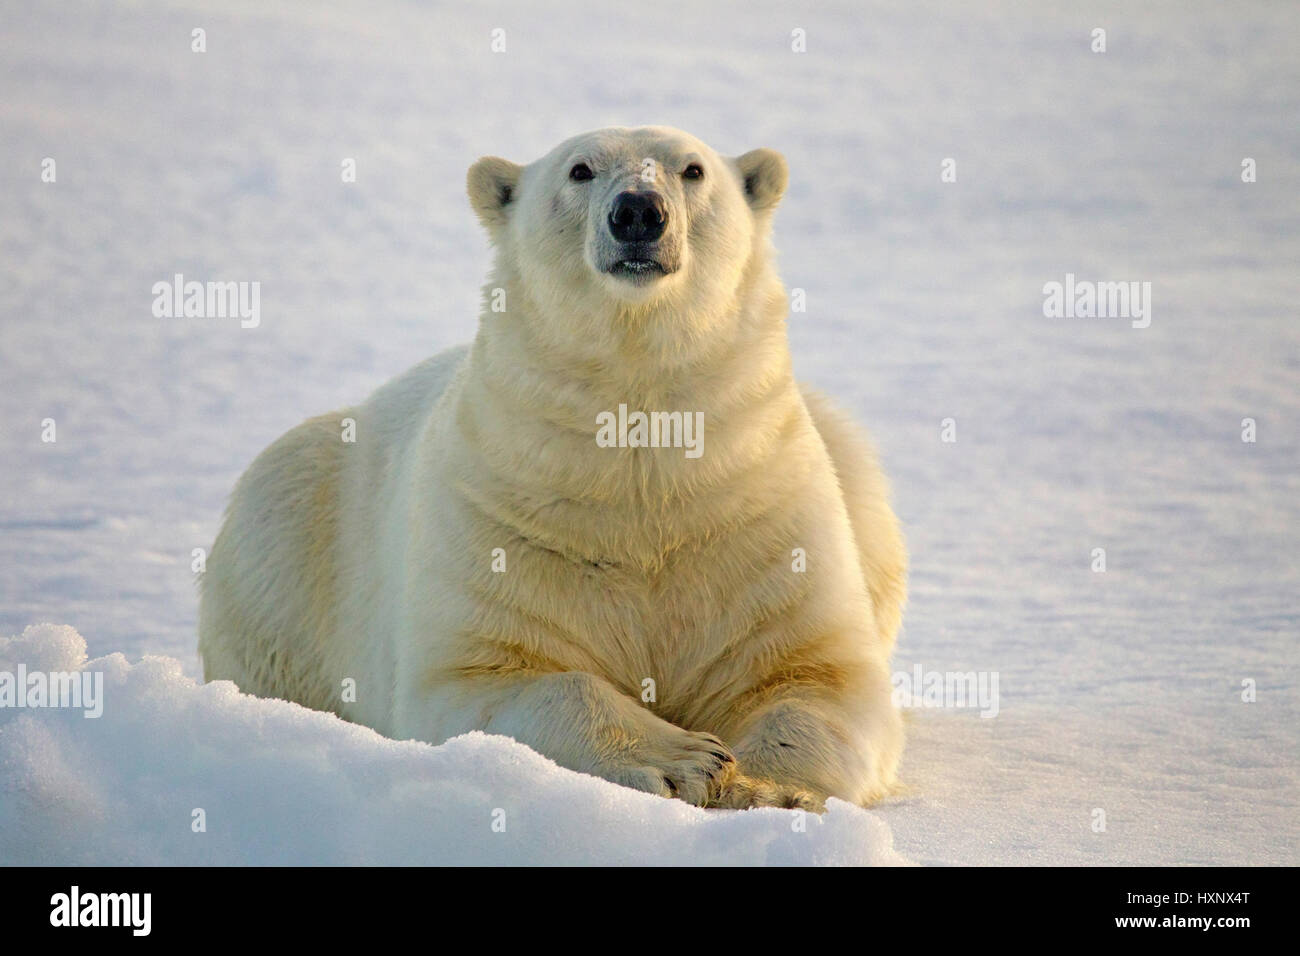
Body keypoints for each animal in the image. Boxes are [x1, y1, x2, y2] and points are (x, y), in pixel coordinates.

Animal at [200, 127, 904, 811]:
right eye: (580, 169)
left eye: (693, 169)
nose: (638, 212)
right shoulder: (496, 527)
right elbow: (495, 677)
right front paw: (683, 758)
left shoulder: (762, 525)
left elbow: (817, 676)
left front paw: (768, 786)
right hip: (296, 515)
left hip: (851, 467)